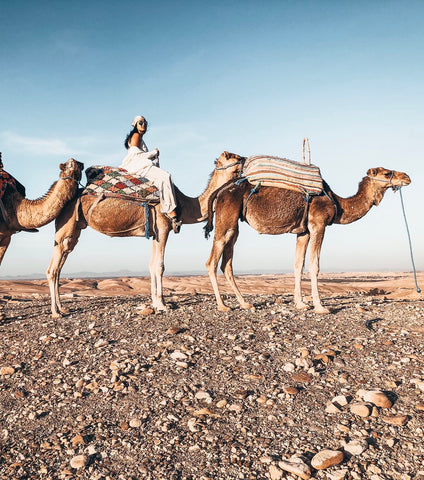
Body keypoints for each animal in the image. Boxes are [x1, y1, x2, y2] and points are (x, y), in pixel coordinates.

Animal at [46, 148, 245, 316]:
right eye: (233, 156)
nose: (244, 159)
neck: (185, 204)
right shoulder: (163, 228)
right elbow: (160, 265)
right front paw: (162, 305)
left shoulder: (156, 233)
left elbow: (151, 265)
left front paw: (157, 302)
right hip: (67, 225)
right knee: (53, 268)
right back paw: (56, 312)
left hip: (74, 229)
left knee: (60, 263)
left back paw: (62, 308)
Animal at [205, 167, 410, 314]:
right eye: (386, 172)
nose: (407, 177)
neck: (338, 204)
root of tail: (220, 191)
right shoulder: (318, 225)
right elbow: (314, 265)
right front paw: (320, 307)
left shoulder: (303, 232)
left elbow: (298, 264)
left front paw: (301, 303)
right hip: (226, 220)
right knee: (211, 262)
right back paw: (222, 305)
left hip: (234, 225)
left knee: (226, 263)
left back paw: (245, 303)